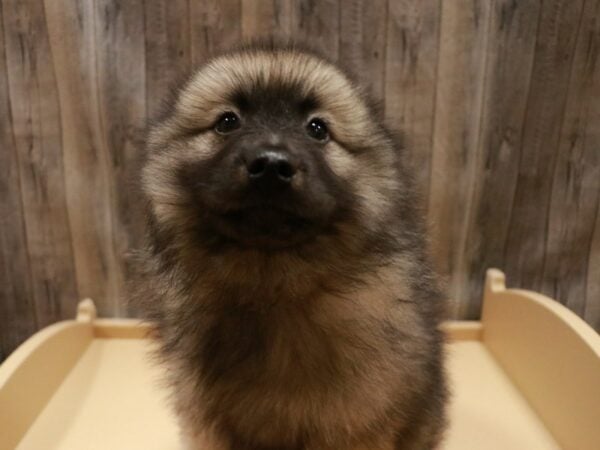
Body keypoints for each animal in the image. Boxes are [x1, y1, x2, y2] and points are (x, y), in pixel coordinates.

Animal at [135, 43, 446, 450]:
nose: (270, 165)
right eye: (227, 122)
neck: (272, 289)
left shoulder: (353, 423)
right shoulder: (209, 421)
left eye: (317, 129)